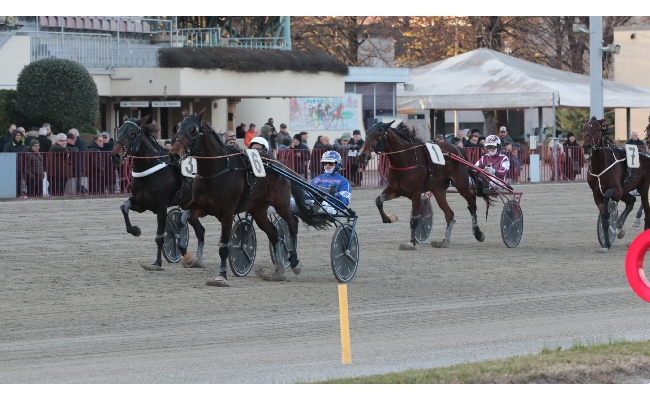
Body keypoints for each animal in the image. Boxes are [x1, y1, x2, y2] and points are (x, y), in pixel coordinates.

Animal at [110, 115, 204, 272]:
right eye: (119, 131)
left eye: (133, 133)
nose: (115, 155)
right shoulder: (141, 204)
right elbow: (124, 207)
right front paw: (135, 230)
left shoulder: (161, 207)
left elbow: (160, 236)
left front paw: (157, 262)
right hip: (188, 206)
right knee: (200, 231)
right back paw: (193, 258)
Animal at [356, 120, 488, 248]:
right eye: (366, 134)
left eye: (378, 134)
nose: (361, 155)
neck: (405, 159)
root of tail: (458, 149)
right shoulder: (395, 190)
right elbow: (379, 200)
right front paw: (389, 218)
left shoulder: (416, 193)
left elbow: (414, 218)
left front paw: (411, 242)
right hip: (439, 189)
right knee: (449, 214)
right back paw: (444, 242)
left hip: (461, 184)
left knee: (472, 202)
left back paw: (478, 233)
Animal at [580, 116, 648, 253]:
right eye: (584, 129)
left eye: (598, 129)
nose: (587, 146)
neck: (600, 167)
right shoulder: (596, 194)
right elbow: (605, 219)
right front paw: (606, 243)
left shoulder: (617, 190)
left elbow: (607, 195)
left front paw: (610, 214)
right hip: (626, 190)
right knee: (631, 201)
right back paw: (620, 227)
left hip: (642, 189)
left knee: (646, 209)